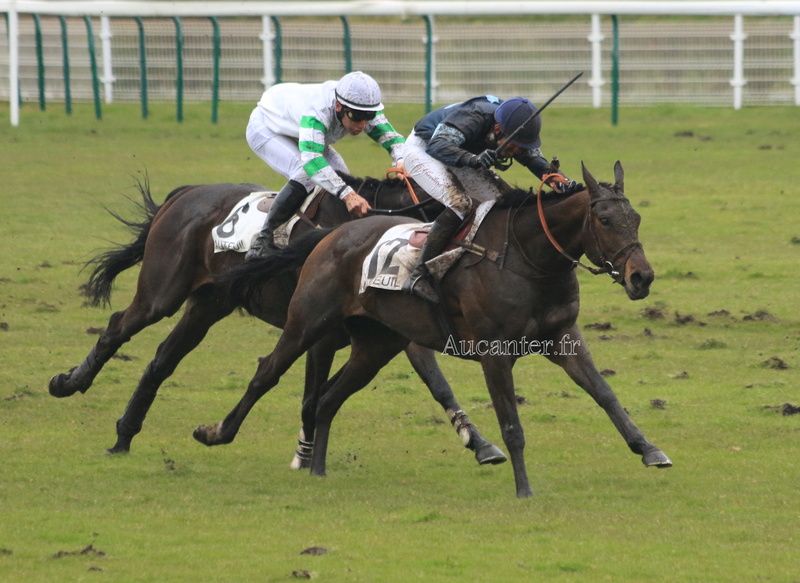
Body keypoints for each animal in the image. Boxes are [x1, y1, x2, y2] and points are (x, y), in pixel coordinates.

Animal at [48, 172, 506, 466]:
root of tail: (187, 191)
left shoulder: (392, 325)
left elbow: (437, 383)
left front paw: (481, 443)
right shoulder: (327, 332)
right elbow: (311, 395)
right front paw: (305, 454)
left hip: (208, 304)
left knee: (162, 360)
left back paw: (124, 433)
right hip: (162, 292)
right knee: (118, 328)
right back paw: (69, 383)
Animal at [195, 163, 676, 498]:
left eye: (636, 218)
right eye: (606, 221)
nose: (641, 278)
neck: (528, 256)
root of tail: (331, 235)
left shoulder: (563, 338)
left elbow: (605, 394)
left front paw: (650, 450)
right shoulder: (494, 352)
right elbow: (512, 424)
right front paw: (524, 488)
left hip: (376, 344)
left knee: (329, 398)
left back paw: (318, 468)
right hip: (307, 322)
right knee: (268, 372)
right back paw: (216, 432)